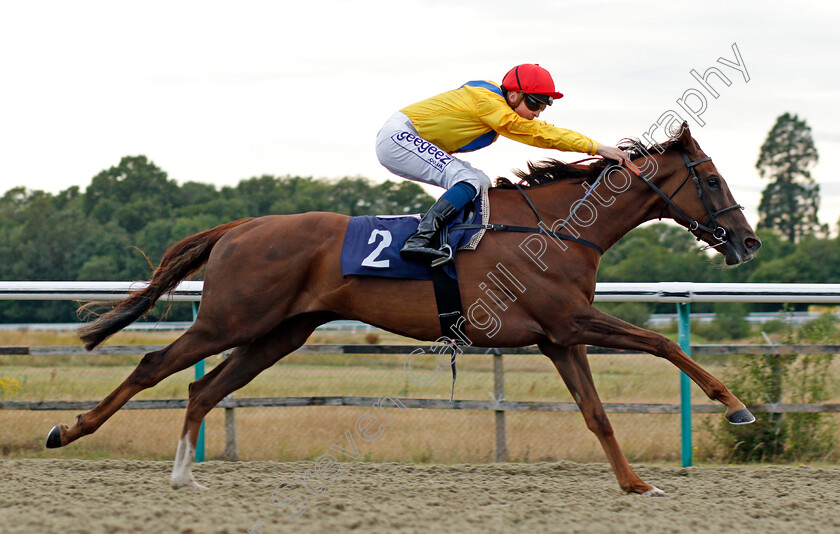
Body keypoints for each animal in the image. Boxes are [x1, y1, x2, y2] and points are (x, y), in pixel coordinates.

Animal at [46, 122, 760, 498]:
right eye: (714, 180)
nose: (748, 241)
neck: (557, 228)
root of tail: (241, 226)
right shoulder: (571, 322)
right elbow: (664, 344)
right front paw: (737, 407)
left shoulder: (559, 336)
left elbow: (597, 413)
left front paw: (636, 484)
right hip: (232, 319)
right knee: (154, 364)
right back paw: (69, 431)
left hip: (279, 334)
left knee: (205, 389)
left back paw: (183, 476)